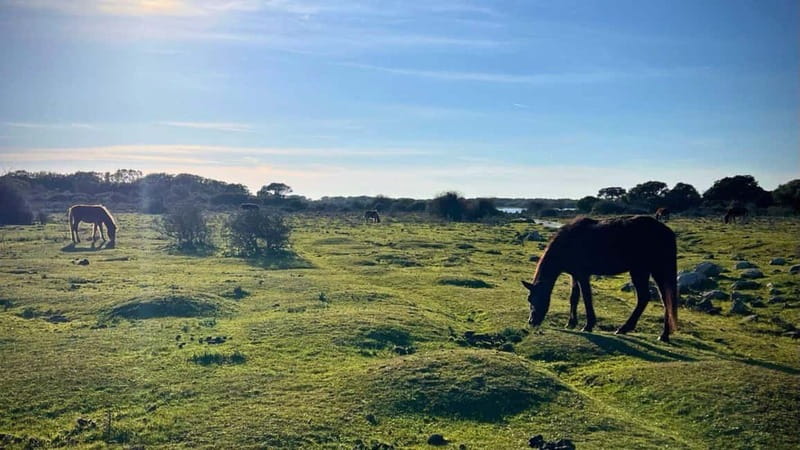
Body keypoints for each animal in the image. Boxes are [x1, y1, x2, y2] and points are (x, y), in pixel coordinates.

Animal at [522, 215, 678, 342]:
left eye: (533, 298)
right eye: (529, 299)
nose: (531, 321)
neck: (568, 242)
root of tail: (666, 231)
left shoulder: (583, 275)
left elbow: (586, 297)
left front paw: (588, 325)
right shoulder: (574, 275)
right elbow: (574, 298)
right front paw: (571, 323)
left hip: (642, 270)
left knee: (646, 298)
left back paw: (624, 328)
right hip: (652, 271)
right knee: (664, 300)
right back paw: (663, 335)